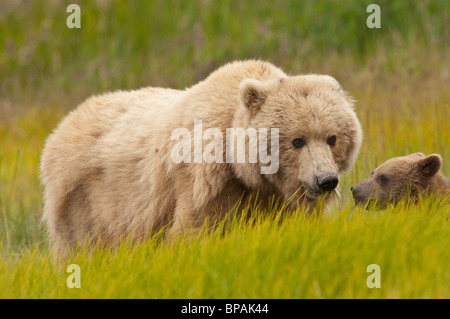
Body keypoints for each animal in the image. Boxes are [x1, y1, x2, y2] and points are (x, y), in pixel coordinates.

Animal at [40, 59, 364, 255]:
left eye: (332, 138)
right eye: (297, 140)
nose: (326, 180)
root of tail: (61, 128)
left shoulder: (276, 197)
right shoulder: (205, 182)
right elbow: (195, 231)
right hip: (87, 201)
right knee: (85, 247)